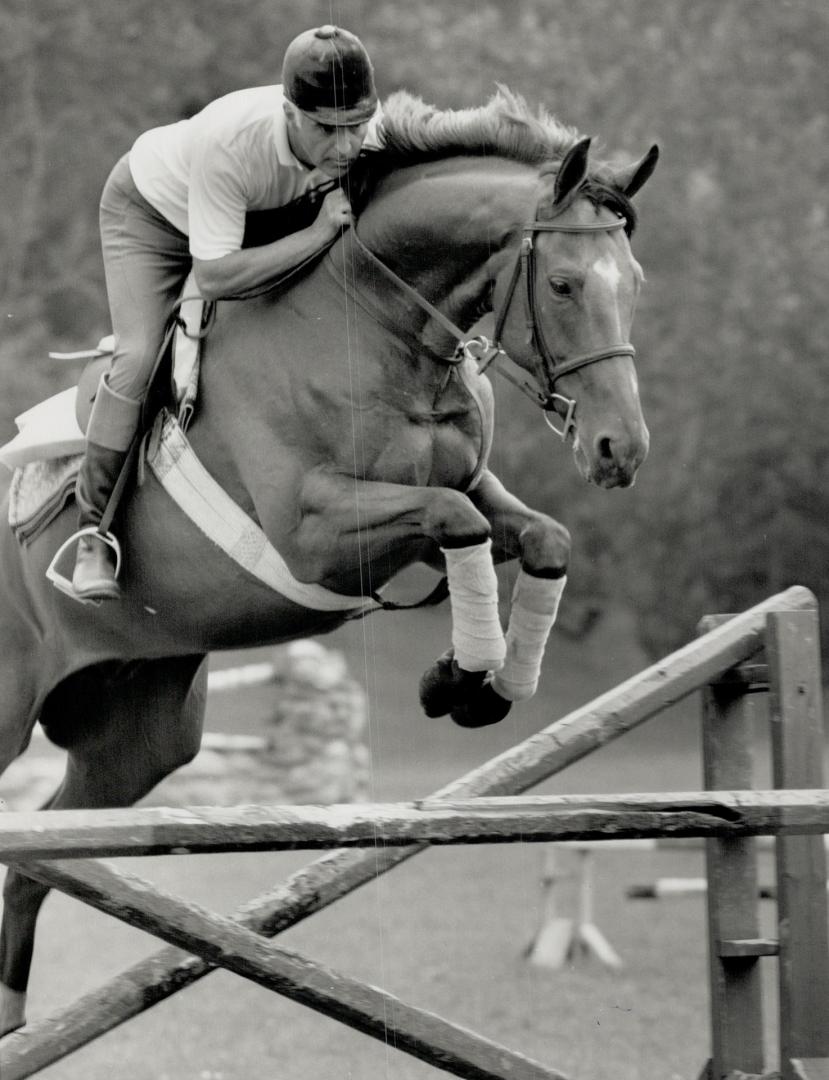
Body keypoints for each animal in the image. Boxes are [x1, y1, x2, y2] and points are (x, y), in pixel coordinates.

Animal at [0, 88, 660, 1032]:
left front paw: (477, 684)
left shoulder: (473, 491)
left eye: (633, 286)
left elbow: (538, 536)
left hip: (138, 736)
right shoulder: (313, 534)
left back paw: (14, 1020)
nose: (618, 451)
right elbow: (453, 521)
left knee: (35, 861)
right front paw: (464, 677)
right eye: (564, 285)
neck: (381, 330)